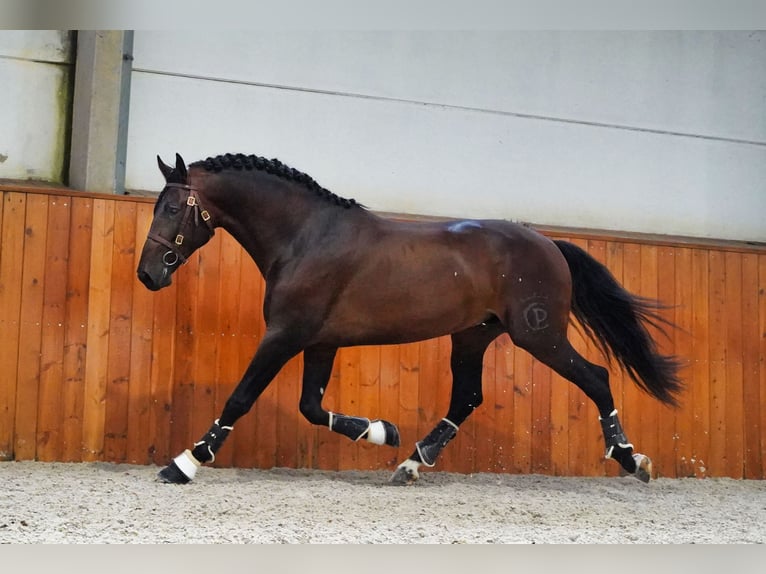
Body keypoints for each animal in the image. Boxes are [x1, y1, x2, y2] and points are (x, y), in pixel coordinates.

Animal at [135, 152, 680, 486]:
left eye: (173, 208)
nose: (147, 274)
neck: (306, 236)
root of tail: (548, 243)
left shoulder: (285, 335)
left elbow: (242, 396)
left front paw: (185, 463)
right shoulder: (319, 341)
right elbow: (311, 407)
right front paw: (382, 431)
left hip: (538, 335)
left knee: (597, 377)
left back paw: (632, 459)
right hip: (473, 336)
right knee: (468, 397)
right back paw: (412, 462)